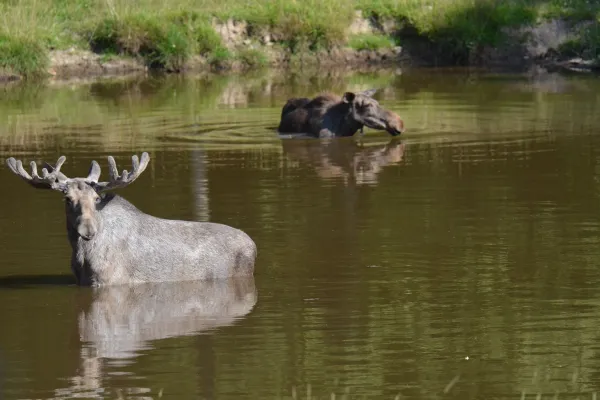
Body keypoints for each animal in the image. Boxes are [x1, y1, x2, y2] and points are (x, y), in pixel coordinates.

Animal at [5, 153, 258, 288]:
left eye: (96, 198)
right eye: (67, 199)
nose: (88, 231)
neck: (82, 255)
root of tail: (254, 246)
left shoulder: (109, 282)